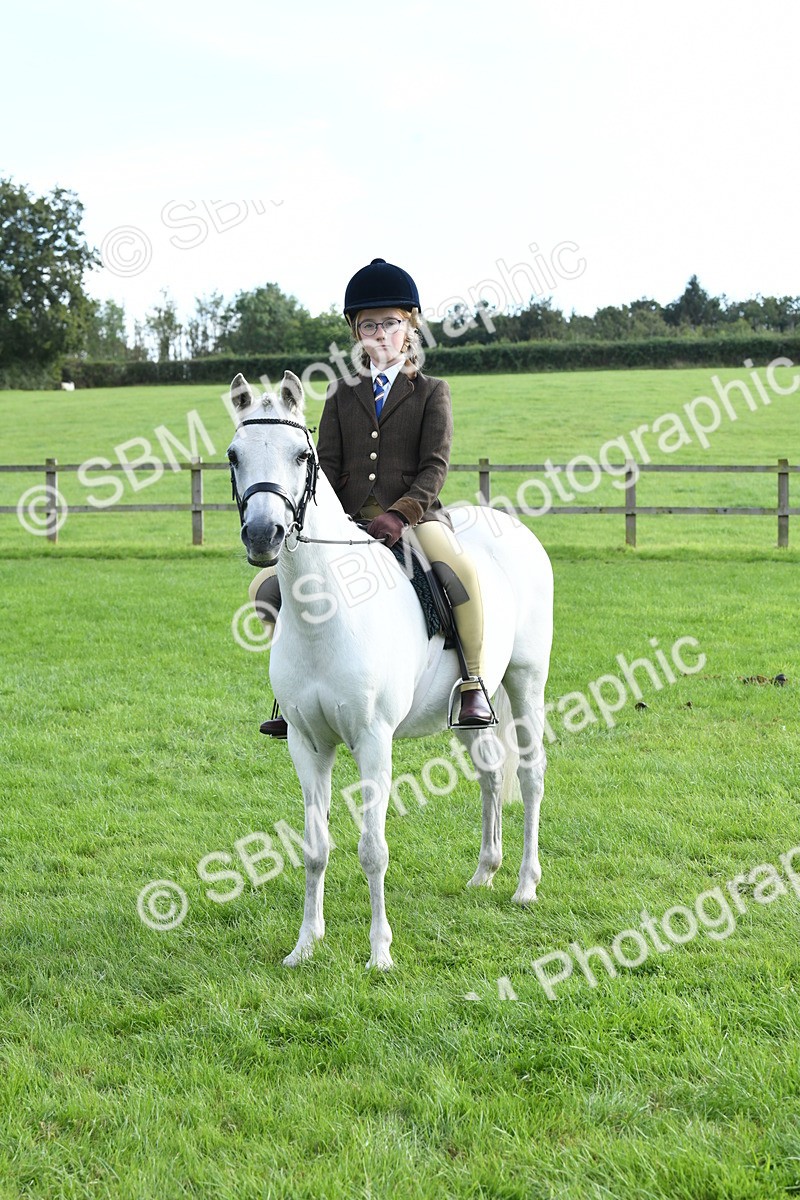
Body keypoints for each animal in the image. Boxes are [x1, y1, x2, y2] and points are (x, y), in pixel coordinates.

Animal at [227, 370, 554, 970]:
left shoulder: (373, 741)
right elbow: (315, 848)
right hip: (470, 707)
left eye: (301, 455)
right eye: (235, 455)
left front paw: (380, 952)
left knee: (530, 773)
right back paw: (484, 873)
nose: (264, 536)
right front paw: (305, 946)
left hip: (526, 682)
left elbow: (372, 849)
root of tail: (513, 529)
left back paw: (525, 885)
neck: (325, 609)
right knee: (491, 772)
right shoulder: (306, 744)